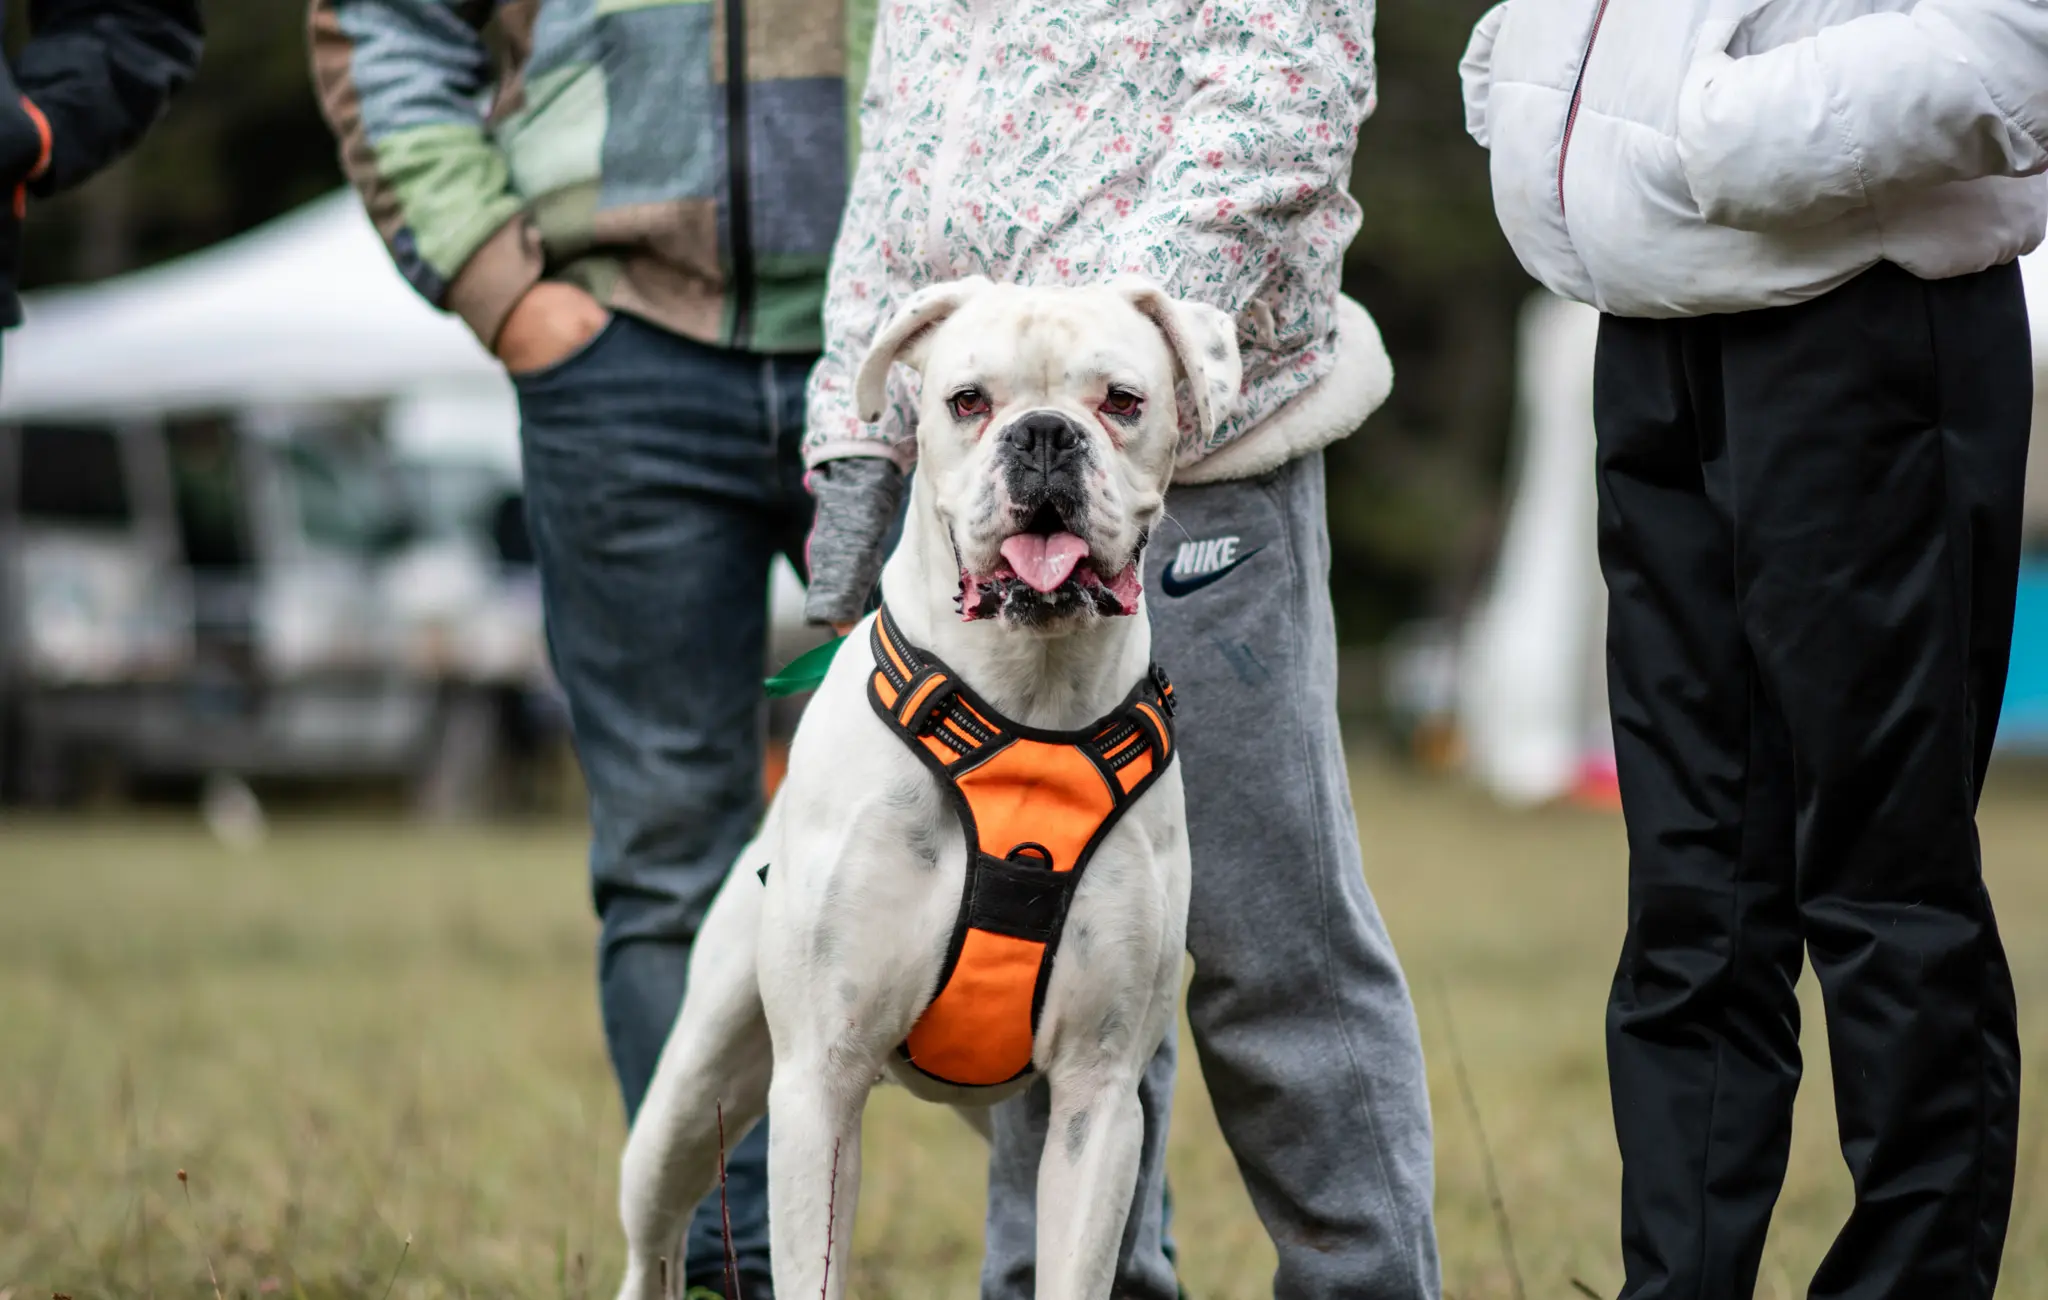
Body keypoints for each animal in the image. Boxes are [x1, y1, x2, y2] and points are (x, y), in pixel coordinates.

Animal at [614, 276, 1236, 1300]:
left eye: (1123, 401)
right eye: (967, 401)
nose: (1044, 436)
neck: (1029, 701)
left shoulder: (1098, 1098)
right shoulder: (819, 1080)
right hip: (690, 1096)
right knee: (654, 1238)